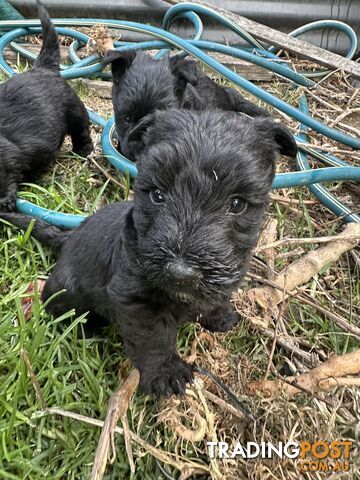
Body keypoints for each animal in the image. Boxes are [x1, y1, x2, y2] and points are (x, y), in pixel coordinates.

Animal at [0, 0, 93, 211]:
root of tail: (43, 68)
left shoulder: (6, 158)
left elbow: (6, 178)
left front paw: (5, 202)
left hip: (75, 110)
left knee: (81, 130)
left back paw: (83, 151)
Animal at [0, 109, 296, 398]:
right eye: (157, 195)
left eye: (236, 204)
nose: (181, 273)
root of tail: (69, 237)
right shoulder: (135, 299)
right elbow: (153, 338)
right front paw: (167, 373)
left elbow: (213, 298)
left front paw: (219, 315)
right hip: (66, 291)